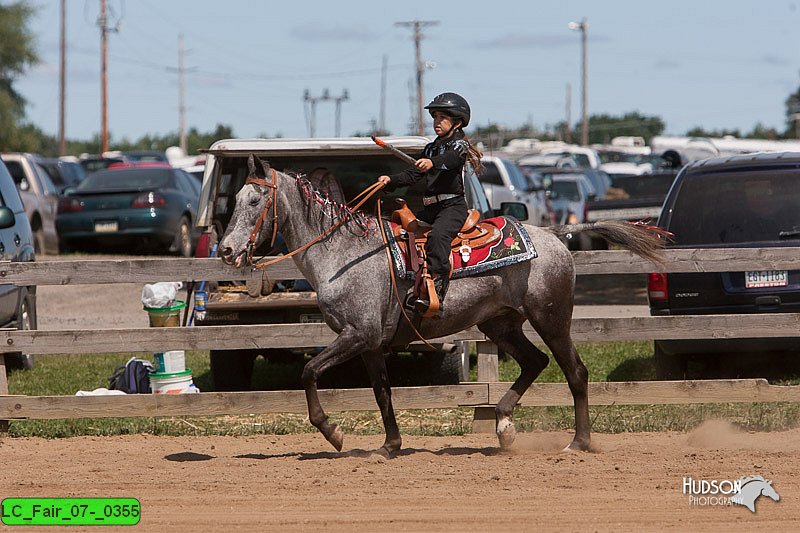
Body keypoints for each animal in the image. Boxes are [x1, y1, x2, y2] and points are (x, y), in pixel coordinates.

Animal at [216, 156, 664, 456]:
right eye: (235, 198)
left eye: (255, 201)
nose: (226, 250)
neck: (343, 253)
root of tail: (553, 235)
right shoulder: (370, 342)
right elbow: (382, 392)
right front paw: (390, 445)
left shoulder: (357, 335)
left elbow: (309, 371)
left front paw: (333, 432)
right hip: (501, 324)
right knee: (535, 362)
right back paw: (504, 426)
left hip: (551, 318)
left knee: (575, 372)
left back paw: (579, 441)